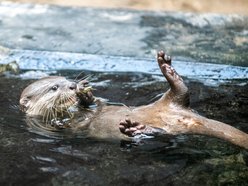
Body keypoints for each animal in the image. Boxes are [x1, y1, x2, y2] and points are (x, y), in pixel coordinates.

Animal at [19, 51, 248, 150]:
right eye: (54, 88)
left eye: (66, 80)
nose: (73, 86)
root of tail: (185, 117)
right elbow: (74, 124)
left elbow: (97, 105)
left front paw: (87, 96)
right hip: (169, 123)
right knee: (161, 131)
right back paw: (137, 129)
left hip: (170, 102)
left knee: (180, 92)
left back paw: (167, 69)